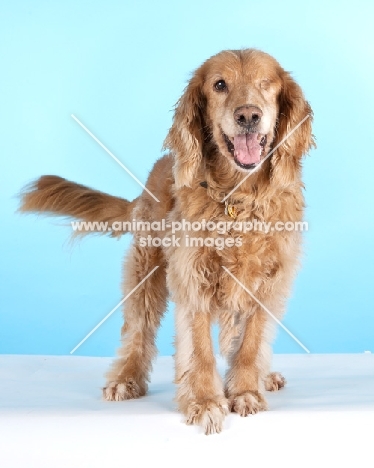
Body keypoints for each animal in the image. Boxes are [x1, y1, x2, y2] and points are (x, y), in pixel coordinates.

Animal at [19, 49, 312, 434]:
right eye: (220, 85)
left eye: (266, 83)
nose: (248, 115)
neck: (238, 199)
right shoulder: (191, 278)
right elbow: (199, 350)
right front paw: (205, 402)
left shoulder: (270, 282)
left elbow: (250, 343)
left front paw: (245, 391)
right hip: (145, 272)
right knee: (137, 333)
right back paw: (126, 378)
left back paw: (264, 377)